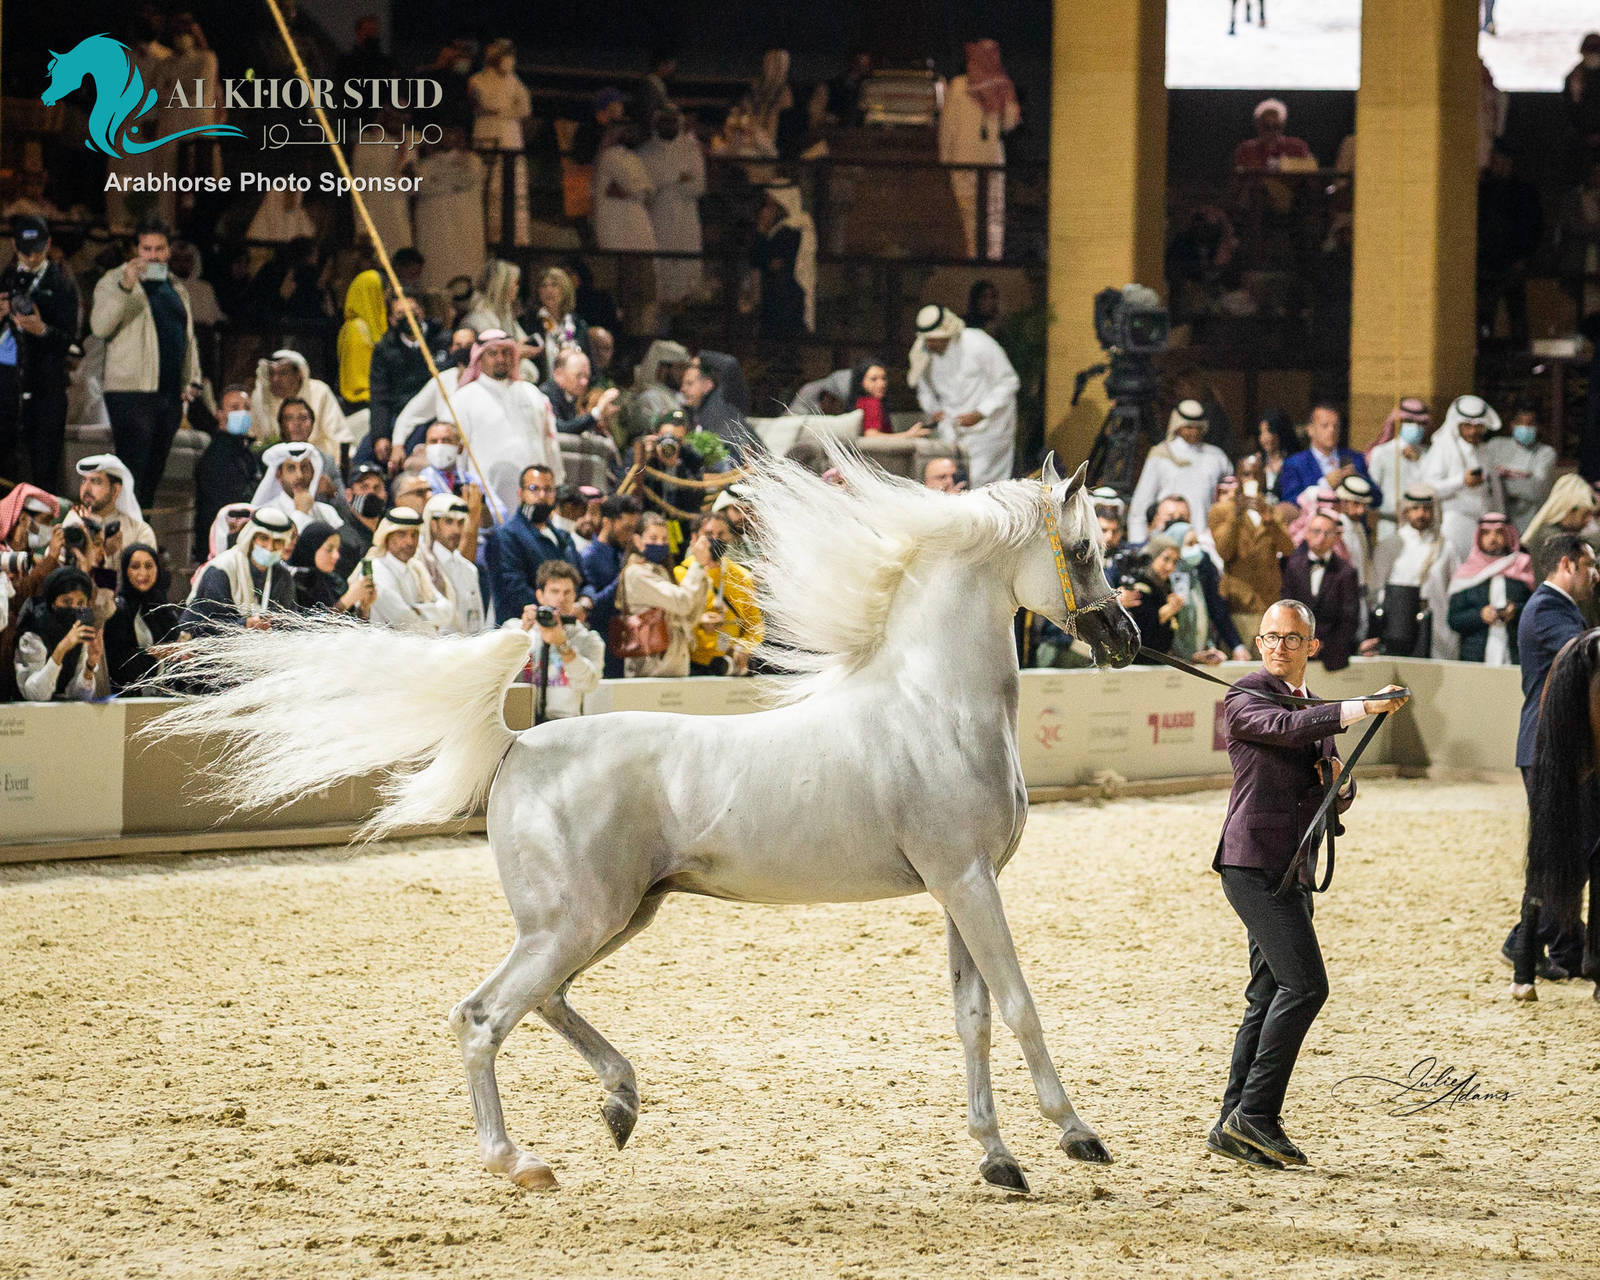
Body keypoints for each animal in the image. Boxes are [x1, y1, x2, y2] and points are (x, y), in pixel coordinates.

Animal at [147, 443, 1140, 1192]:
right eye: (1086, 549)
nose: (1126, 639)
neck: (933, 706)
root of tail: (516, 744)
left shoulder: (954, 888)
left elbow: (973, 1018)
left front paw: (999, 1160)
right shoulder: (966, 882)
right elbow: (1020, 1006)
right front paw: (1078, 1136)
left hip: (615, 915)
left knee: (543, 1002)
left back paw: (619, 1104)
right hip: (579, 920)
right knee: (482, 1016)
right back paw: (520, 1162)